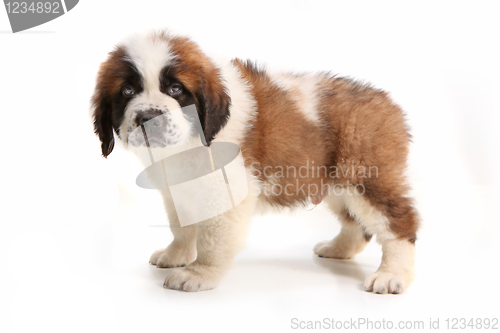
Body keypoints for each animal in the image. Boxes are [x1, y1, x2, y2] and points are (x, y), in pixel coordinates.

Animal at [93, 29, 418, 292]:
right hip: (335, 185)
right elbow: (181, 226)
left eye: (176, 89)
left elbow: (211, 238)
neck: (189, 142)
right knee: (356, 224)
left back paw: (391, 275)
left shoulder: (225, 191)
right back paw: (338, 249)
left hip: (367, 180)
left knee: (399, 223)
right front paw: (176, 255)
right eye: (127, 91)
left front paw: (199, 274)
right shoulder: (178, 191)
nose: (149, 117)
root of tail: (387, 103)